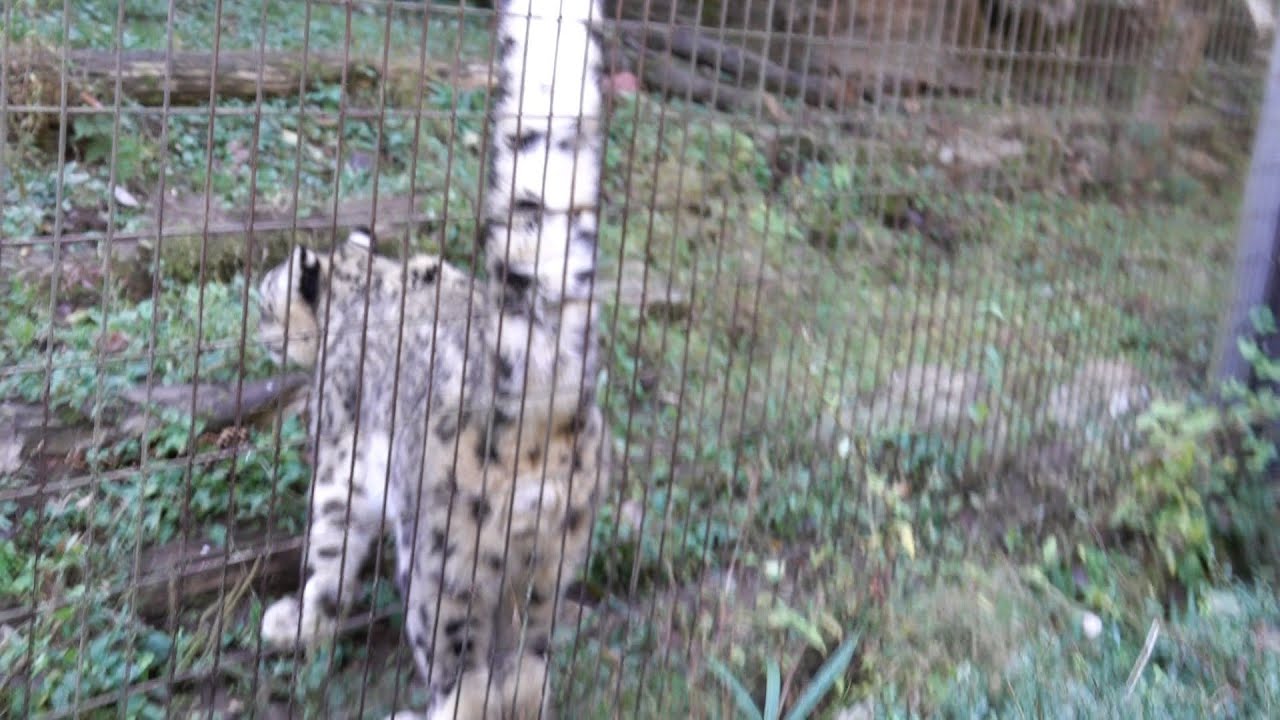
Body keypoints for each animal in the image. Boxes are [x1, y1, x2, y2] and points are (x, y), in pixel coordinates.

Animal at [254, 1, 612, 717]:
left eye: (267, 299)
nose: (255, 327)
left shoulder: (343, 450)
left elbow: (330, 542)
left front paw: (299, 621)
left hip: (441, 557)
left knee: (466, 670)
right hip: (556, 555)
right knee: (530, 664)